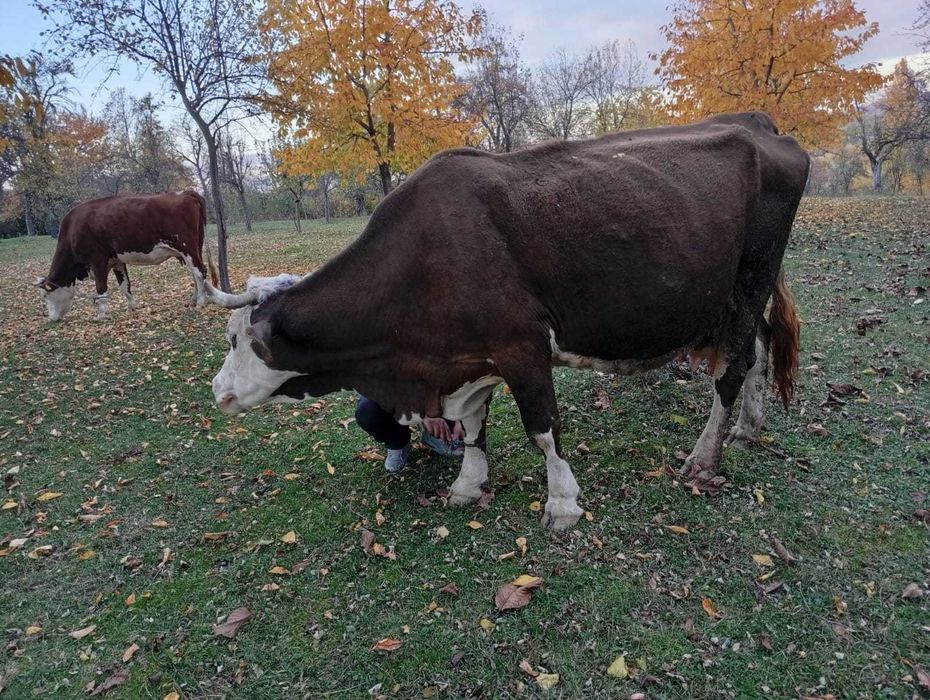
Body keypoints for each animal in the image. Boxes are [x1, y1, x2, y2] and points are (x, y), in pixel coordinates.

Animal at [34, 191, 216, 321]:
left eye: (45, 295)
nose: (51, 319)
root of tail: (185, 192)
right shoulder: (117, 262)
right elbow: (125, 285)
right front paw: (131, 307)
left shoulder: (97, 259)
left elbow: (101, 288)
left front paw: (101, 314)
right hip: (194, 248)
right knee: (196, 274)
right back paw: (194, 299)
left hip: (187, 247)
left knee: (200, 271)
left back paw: (200, 302)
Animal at [205, 112, 808, 530]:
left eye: (235, 340)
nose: (217, 390)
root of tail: (760, 125)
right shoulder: (471, 356)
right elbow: (473, 427)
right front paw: (468, 484)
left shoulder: (522, 345)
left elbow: (543, 429)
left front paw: (562, 504)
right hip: (737, 296)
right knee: (755, 353)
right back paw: (747, 429)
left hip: (750, 278)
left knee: (732, 370)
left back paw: (704, 456)